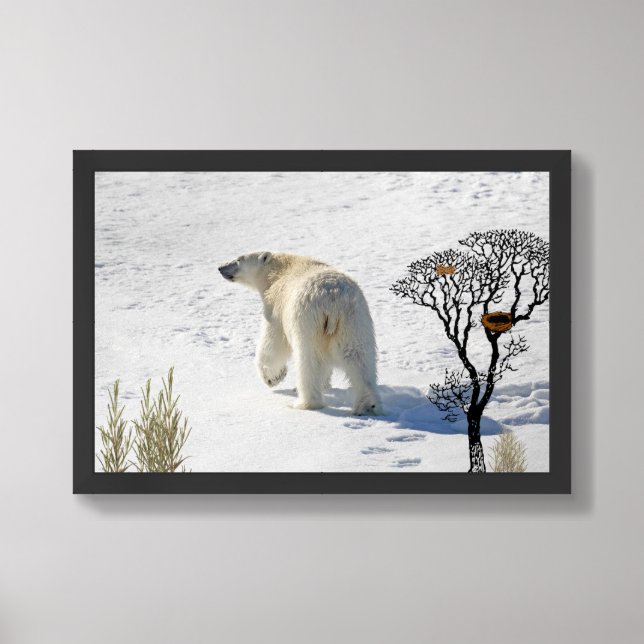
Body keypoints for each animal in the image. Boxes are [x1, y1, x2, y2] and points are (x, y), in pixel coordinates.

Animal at [218, 251, 382, 416]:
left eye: (238, 259)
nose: (220, 267)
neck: (278, 271)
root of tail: (333, 299)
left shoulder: (276, 308)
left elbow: (272, 343)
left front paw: (273, 377)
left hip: (308, 321)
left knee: (309, 361)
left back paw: (305, 402)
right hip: (354, 321)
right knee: (359, 358)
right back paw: (368, 405)